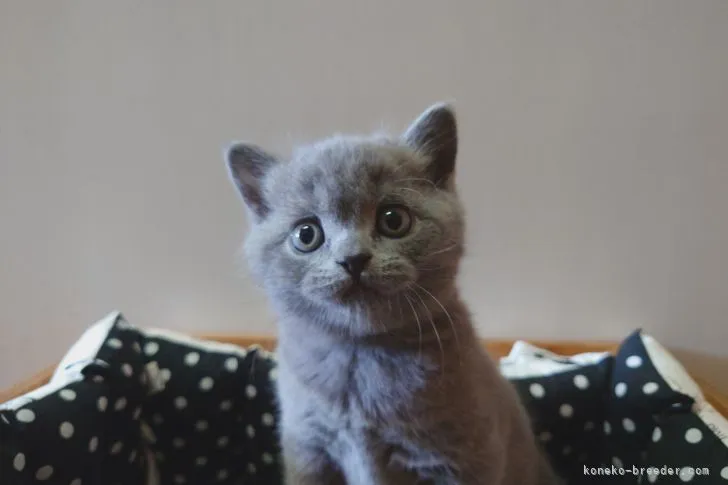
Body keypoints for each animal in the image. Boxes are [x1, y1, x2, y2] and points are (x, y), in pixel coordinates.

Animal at [225, 103, 560, 484]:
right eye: (306, 234)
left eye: (393, 219)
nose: (353, 259)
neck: (360, 356)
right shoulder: (309, 453)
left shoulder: (463, 459)